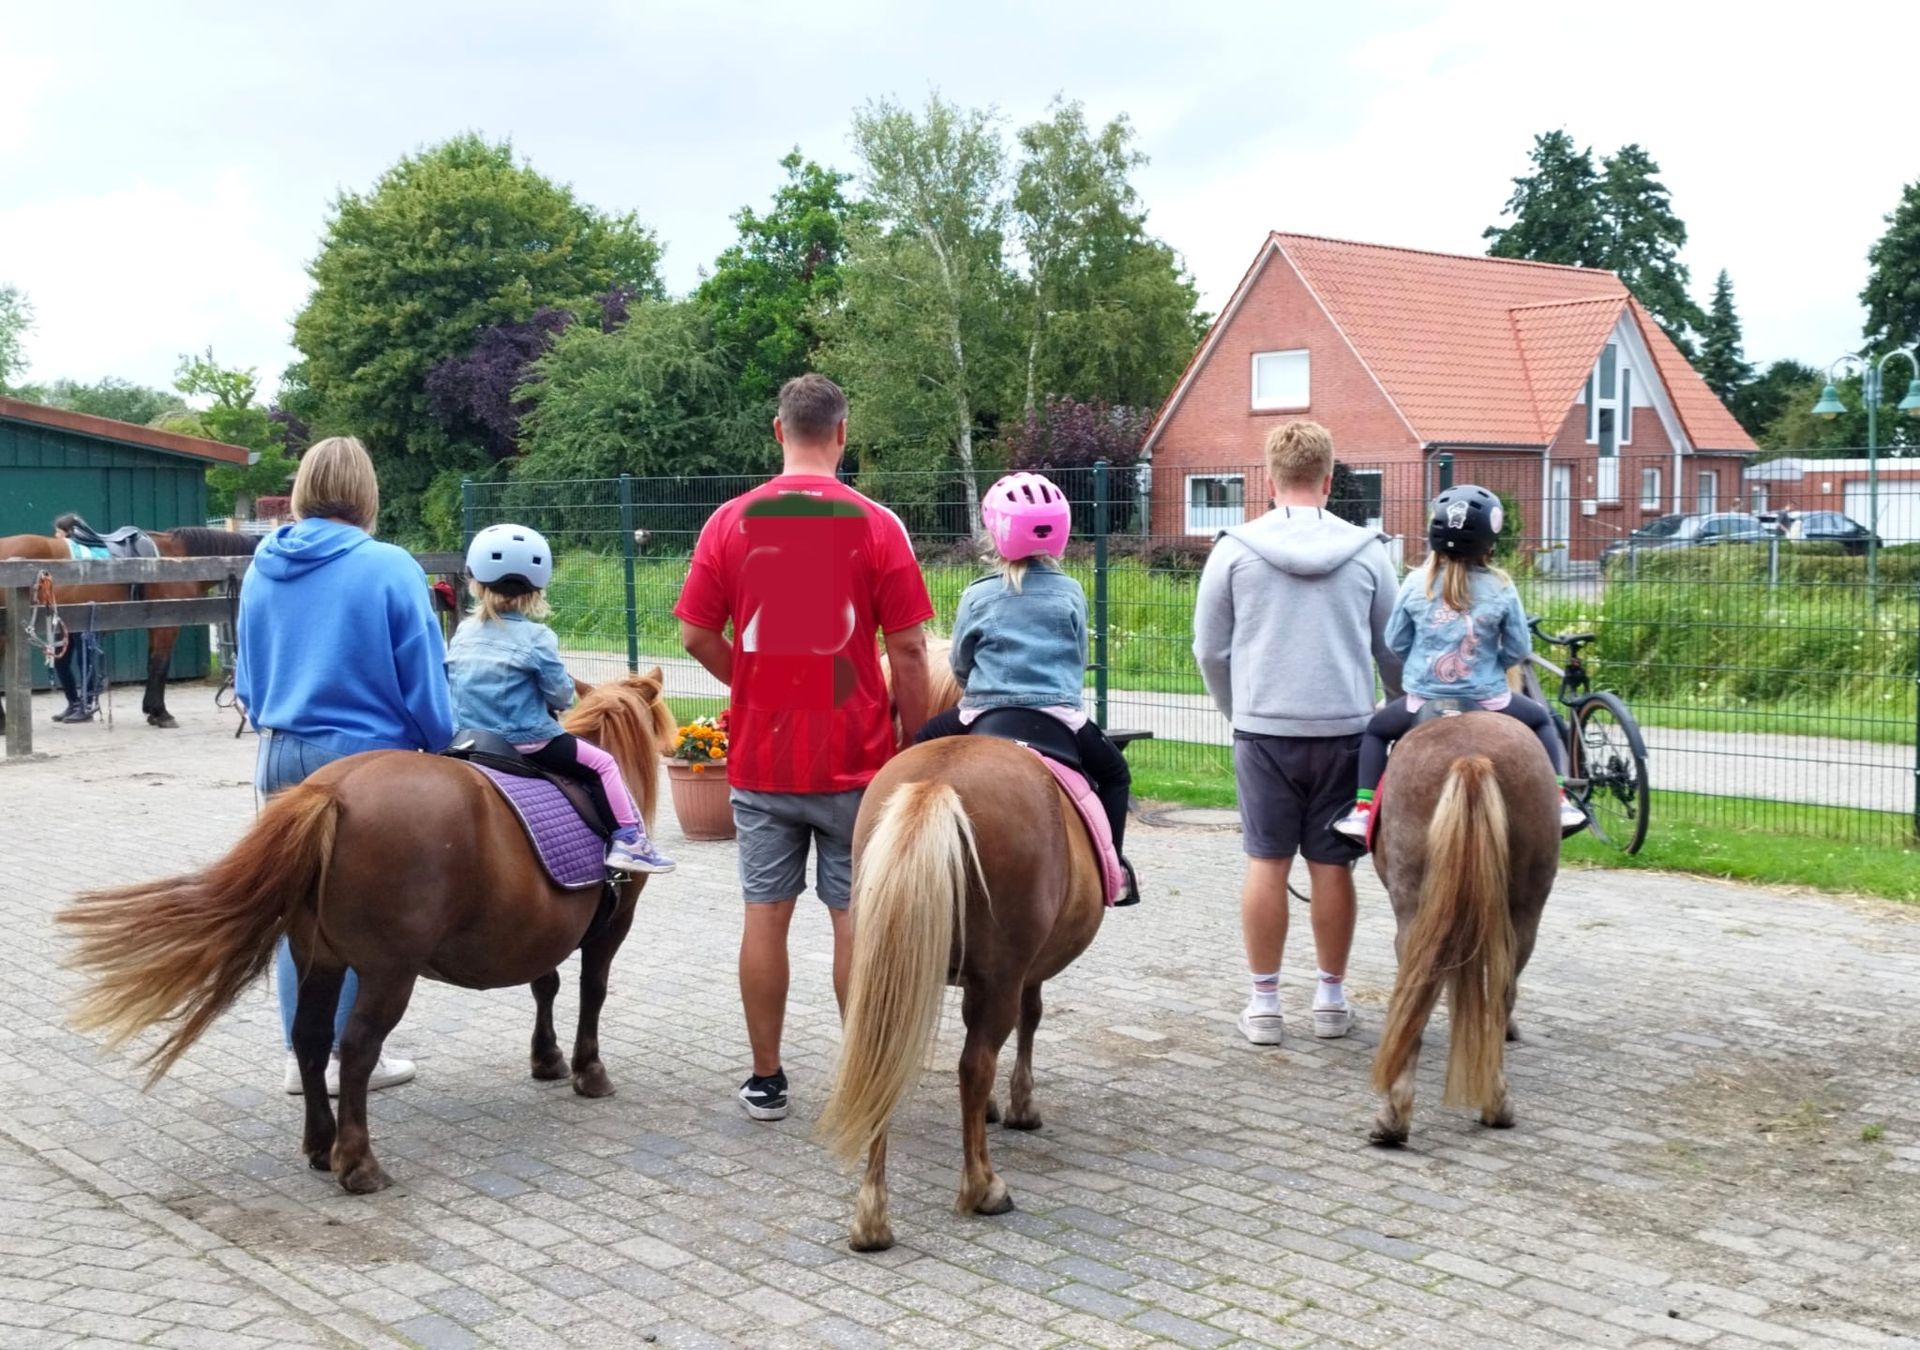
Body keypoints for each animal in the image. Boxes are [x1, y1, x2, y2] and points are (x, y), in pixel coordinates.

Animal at [0, 527, 259, 730]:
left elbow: (152, 664)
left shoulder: (154, 625)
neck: (180, 560)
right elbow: (160, 666)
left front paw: (151, 711)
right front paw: (161, 714)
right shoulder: (167, 624)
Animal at [59, 671, 675, 1195]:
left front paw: (546, 1059)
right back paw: (358, 1164)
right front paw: (588, 1070)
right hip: (388, 974)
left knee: (310, 1040)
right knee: (355, 1048)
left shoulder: (534, 933)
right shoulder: (612, 926)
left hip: (318, 959)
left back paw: (320, 1143)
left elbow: (544, 984)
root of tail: (332, 791)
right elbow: (590, 991)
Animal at [817, 640, 1108, 1252]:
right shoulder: (1020, 972)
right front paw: (1020, 1106)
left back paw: (871, 1218)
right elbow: (1028, 1022)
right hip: (999, 974)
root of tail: (938, 781)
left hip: (877, 975)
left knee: (880, 1063)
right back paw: (983, 1188)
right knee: (974, 1063)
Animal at [1367, 712, 1560, 1146]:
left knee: (1419, 989)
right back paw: (1494, 1103)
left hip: (1418, 911)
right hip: (1523, 914)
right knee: (1502, 991)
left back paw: (1395, 1116)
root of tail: (1471, 756)